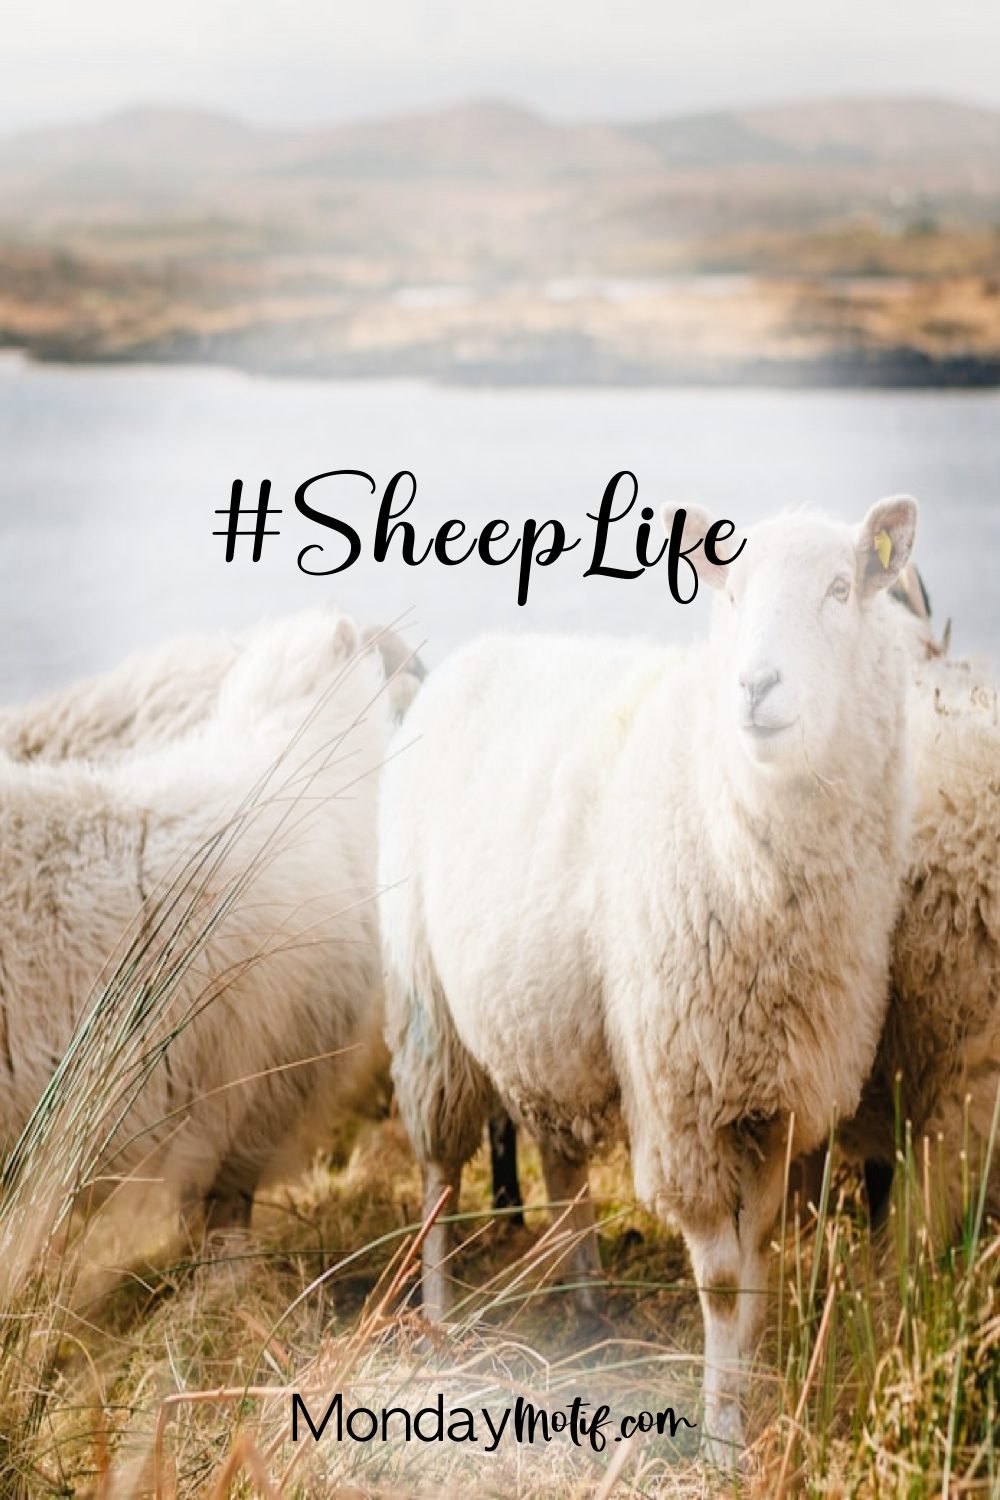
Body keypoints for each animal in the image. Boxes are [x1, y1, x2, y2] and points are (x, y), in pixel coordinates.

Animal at [378, 499, 919, 1464]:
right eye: (729, 591)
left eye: (841, 588)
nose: (755, 686)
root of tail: (464, 660)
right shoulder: (683, 1095)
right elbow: (721, 1280)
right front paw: (721, 1438)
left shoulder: (776, 1098)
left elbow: (759, 1257)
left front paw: (748, 1391)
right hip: (425, 1004)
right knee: (439, 1170)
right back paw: (438, 1316)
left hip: (542, 1015)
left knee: (559, 1160)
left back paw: (590, 1305)